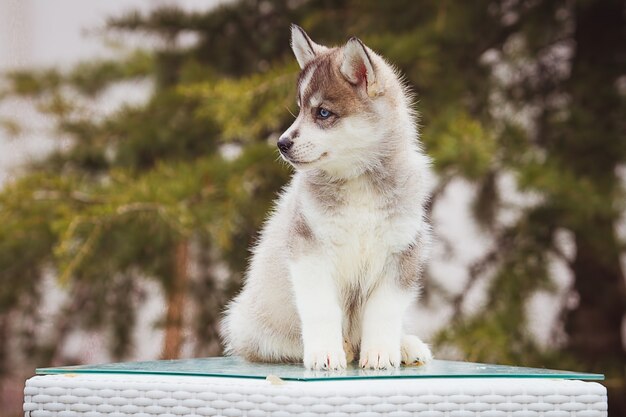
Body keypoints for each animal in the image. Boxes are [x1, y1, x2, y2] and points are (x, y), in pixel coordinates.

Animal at [222, 26, 432, 368]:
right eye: (300, 109)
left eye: (322, 112)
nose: (281, 143)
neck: (358, 179)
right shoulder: (310, 251)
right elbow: (320, 310)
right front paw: (325, 352)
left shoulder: (402, 254)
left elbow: (384, 311)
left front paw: (380, 352)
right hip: (254, 324)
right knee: (279, 344)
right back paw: (340, 347)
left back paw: (405, 345)